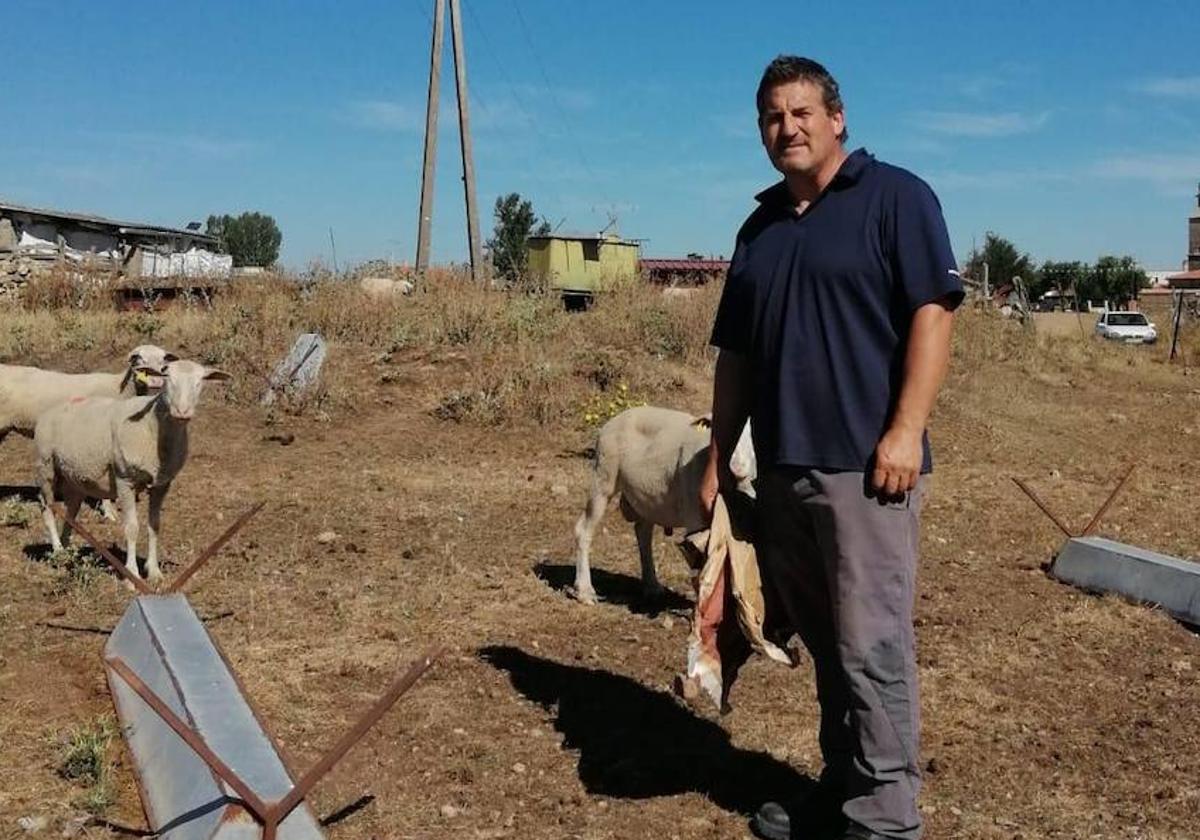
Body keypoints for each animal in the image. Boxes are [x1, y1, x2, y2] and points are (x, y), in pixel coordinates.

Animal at [35, 355, 231, 583]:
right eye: (167, 377)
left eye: (200, 381)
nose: (182, 412)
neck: (154, 428)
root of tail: (50, 411)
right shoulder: (124, 479)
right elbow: (131, 528)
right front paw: (131, 575)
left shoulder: (162, 484)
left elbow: (154, 526)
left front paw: (154, 572)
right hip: (45, 466)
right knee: (47, 507)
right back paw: (57, 551)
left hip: (75, 477)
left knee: (70, 512)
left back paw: (67, 551)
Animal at [573, 405, 758, 604]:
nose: (737, 468)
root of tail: (615, 419)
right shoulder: (696, 517)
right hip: (603, 476)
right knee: (584, 529)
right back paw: (584, 591)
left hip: (647, 497)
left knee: (643, 531)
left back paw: (652, 586)